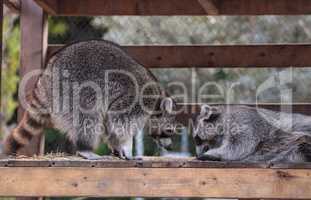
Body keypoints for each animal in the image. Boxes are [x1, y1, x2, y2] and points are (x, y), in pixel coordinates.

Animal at [3, 39, 178, 160]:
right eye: (169, 131)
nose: (169, 147)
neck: (159, 101)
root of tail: (51, 67)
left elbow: (110, 124)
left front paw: (116, 146)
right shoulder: (138, 99)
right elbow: (120, 121)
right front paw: (127, 146)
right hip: (73, 87)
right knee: (88, 116)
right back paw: (85, 147)